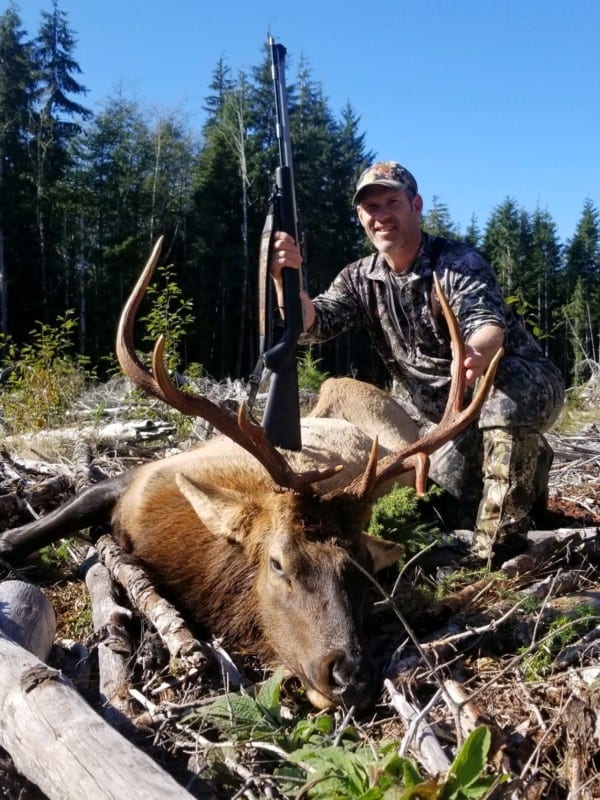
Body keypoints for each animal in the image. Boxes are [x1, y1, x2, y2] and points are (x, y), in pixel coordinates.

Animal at [0, 238, 503, 710]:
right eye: (278, 563)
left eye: (365, 570)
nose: (349, 676)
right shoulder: (137, 476)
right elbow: (47, 522)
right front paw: (10, 547)